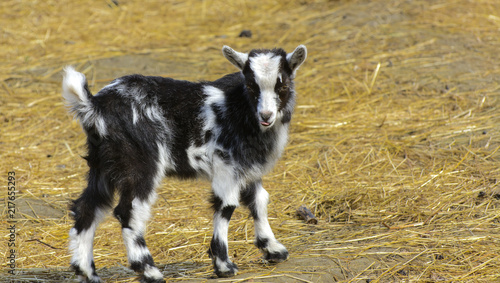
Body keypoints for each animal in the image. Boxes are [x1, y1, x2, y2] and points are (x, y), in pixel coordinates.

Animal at [64, 45, 306, 282]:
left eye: (283, 85)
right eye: (250, 85)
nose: (266, 115)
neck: (238, 107)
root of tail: (95, 106)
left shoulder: (248, 167)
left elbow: (259, 201)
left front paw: (273, 249)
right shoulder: (226, 165)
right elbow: (226, 206)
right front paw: (223, 265)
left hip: (103, 165)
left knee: (87, 207)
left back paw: (87, 272)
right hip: (139, 164)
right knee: (129, 212)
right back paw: (148, 270)